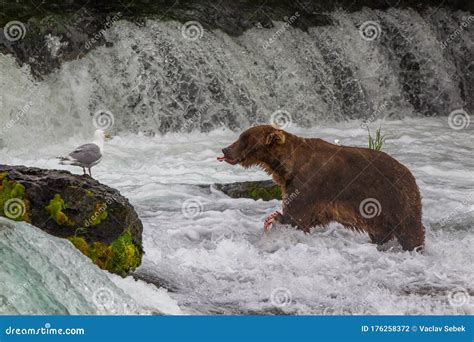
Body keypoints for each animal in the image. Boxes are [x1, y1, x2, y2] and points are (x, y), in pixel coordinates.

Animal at [219, 124, 426, 250]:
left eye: (244, 138)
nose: (225, 149)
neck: (286, 167)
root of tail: (409, 173)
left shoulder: (308, 185)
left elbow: (295, 217)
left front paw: (276, 220)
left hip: (394, 197)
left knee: (410, 229)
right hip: (379, 213)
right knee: (382, 232)